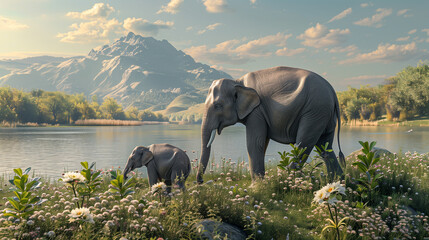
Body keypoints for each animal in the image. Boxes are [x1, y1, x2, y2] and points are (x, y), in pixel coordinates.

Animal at [197, 66, 344, 183]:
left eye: (218, 106)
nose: (200, 182)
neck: (238, 82)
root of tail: (333, 91)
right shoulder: (260, 114)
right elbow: (263, 143)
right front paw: (260, 183)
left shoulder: (257, 112)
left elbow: (254, 142)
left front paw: (255, 187)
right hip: (323, 114)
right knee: (325, 147)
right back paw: (337, 182)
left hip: (314, 111)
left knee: (304, 144)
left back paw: (286, 178)